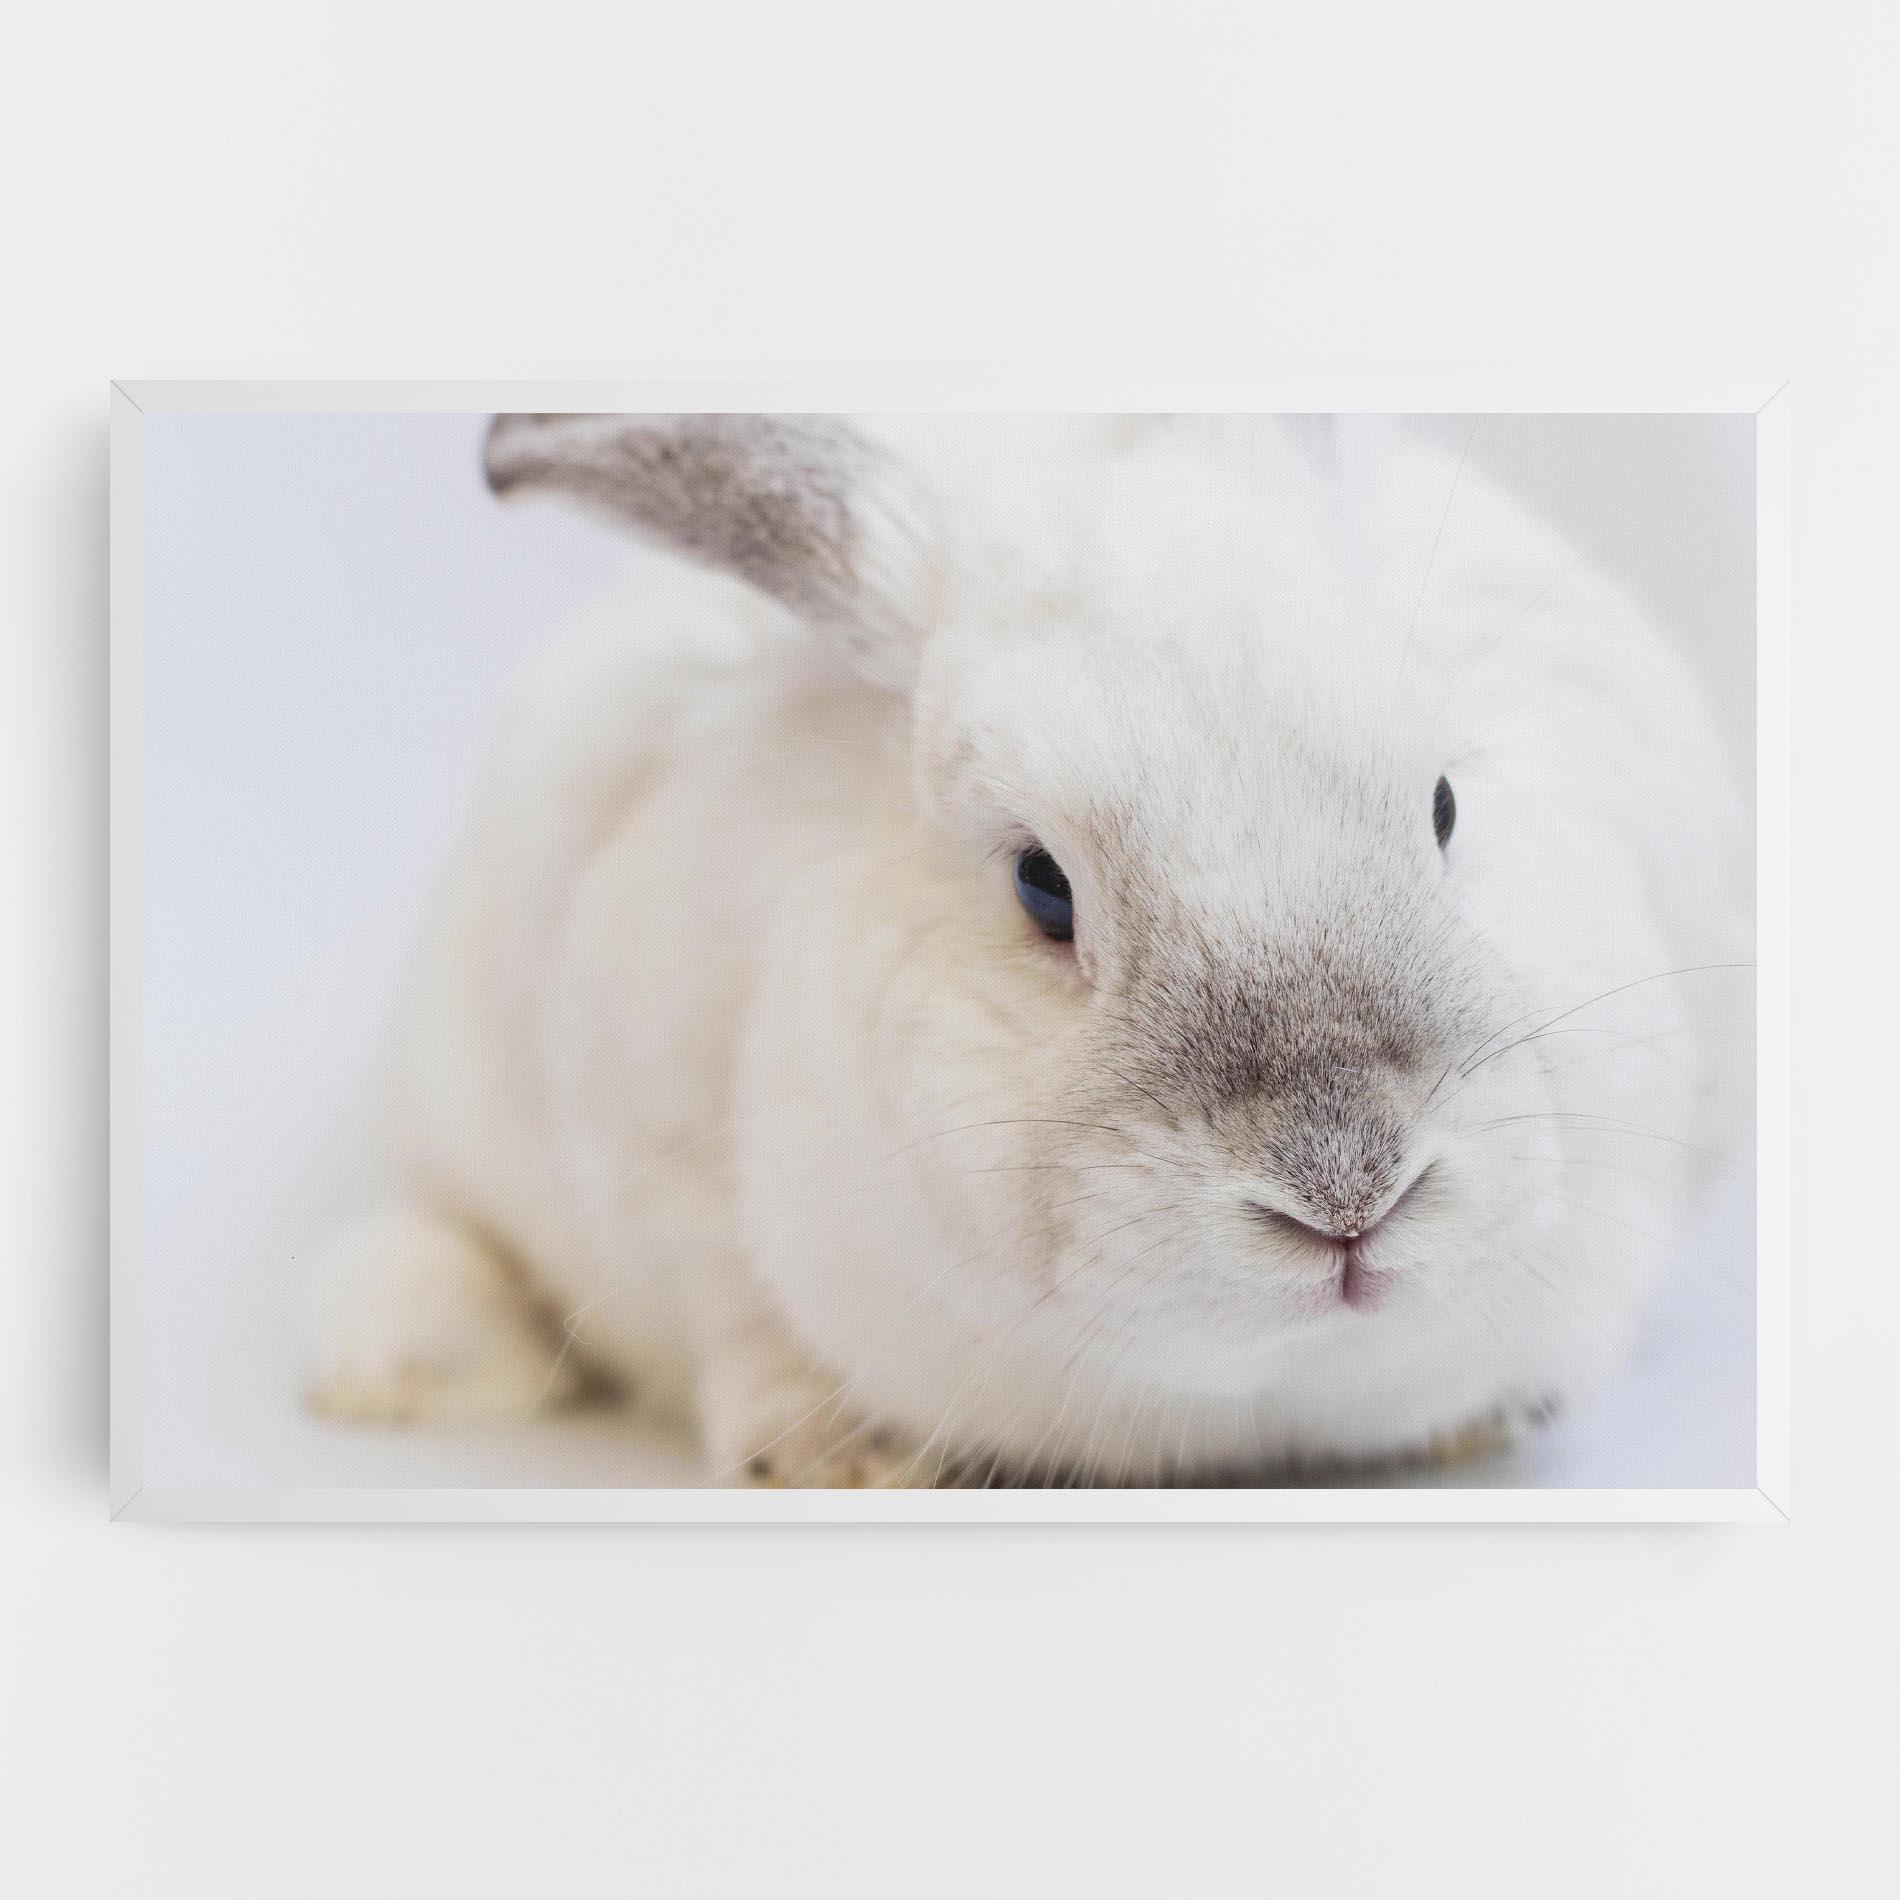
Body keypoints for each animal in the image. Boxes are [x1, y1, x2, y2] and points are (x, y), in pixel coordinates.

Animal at [302, 412, 1752, 1486]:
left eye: (1445, 804)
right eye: (1041, 886)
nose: (1347, 1189)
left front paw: (1480, 1420)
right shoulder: (653, 1145)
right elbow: (737, 1320)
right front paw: (838, 1456)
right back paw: (388, 1368)